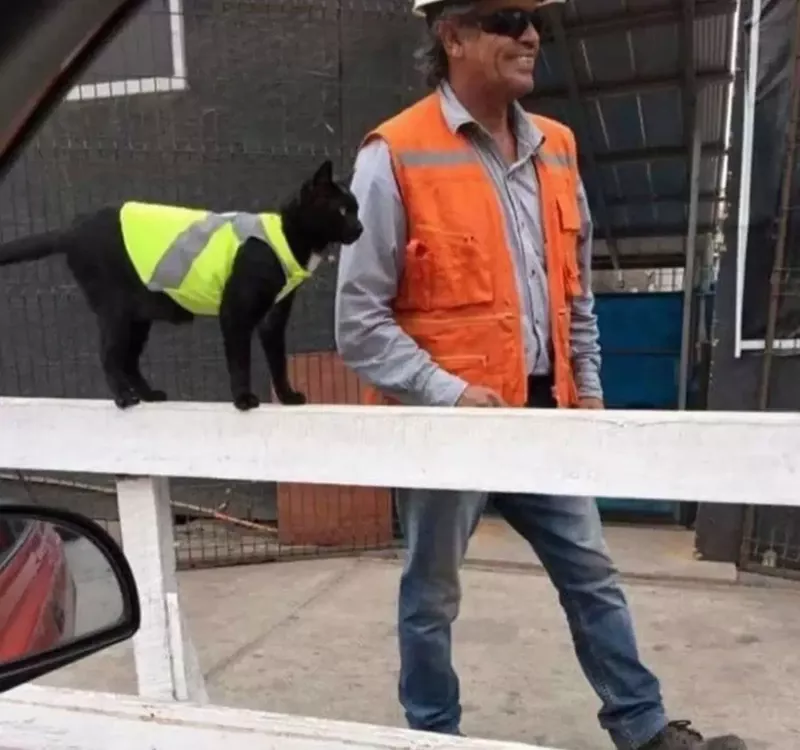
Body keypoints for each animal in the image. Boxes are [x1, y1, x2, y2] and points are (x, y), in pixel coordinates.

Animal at [0, 159, 362, 410]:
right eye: (343, 210)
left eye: (357, 210)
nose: (360, 228)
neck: (285, 236)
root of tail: (73, 227)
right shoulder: (235, 313)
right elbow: (240, 361)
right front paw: (243, 399)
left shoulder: (274, 319)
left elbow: (279, 362)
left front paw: (287, 396)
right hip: (116, 312)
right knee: (109, 356)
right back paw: (124, 398)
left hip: (138, 317)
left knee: (128, 359)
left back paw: (148, 394)